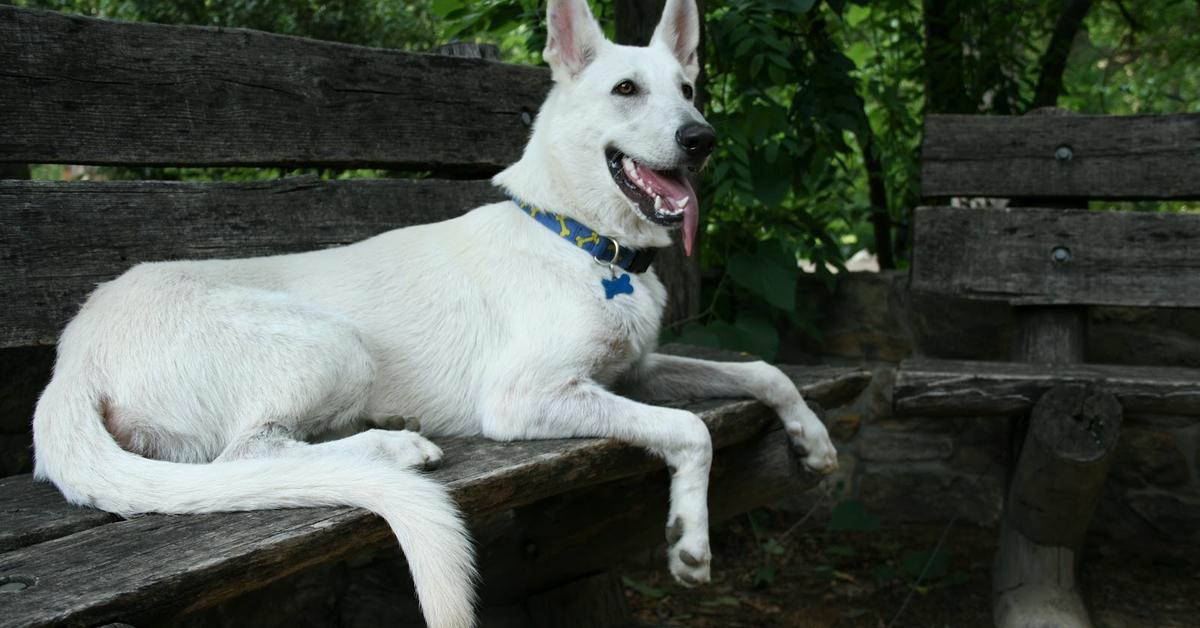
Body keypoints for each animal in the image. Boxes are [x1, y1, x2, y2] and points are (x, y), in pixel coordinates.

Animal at [28, 1, 835, 628]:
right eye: (627, 89)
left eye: (690, 88)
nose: (702, 140)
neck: (579, 238)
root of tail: (73, 357)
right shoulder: (526, 397)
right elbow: (692, 431)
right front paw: (691, 541)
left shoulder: (632, 371)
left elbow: (764, 370)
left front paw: (815, 441)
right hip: (334, 343)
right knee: (248, 456)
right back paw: (393, 446)